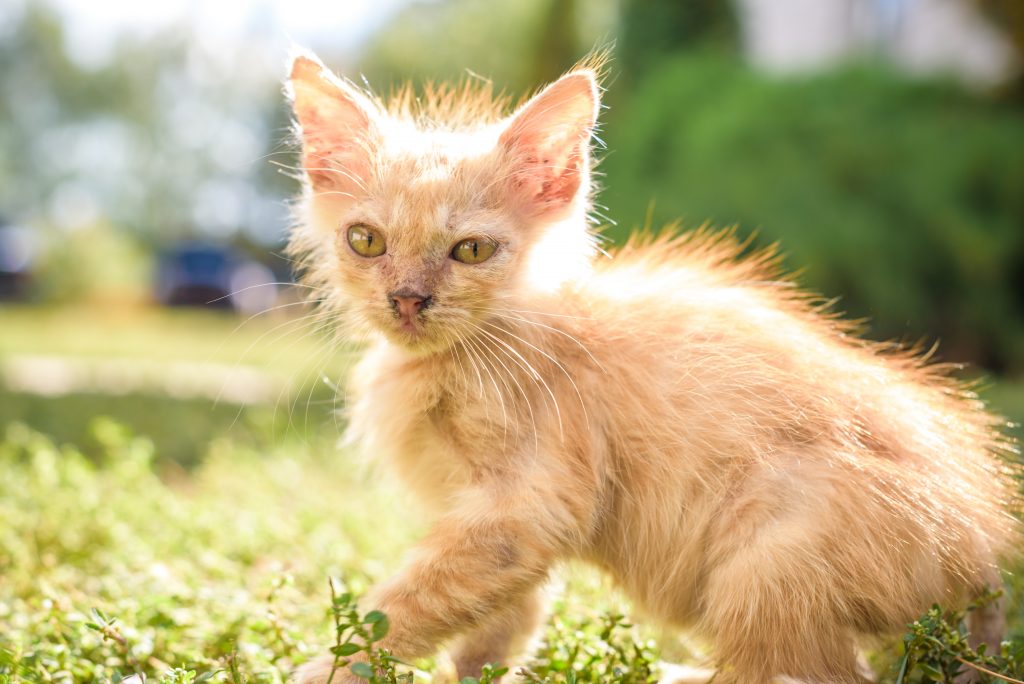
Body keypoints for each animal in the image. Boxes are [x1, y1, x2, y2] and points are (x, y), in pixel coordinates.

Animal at [284, 52, 1019, 684]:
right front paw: (475, 672)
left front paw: (330, 668)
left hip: (769, 553)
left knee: (813, 674)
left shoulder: (529, 501)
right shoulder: (500, 524)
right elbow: (504, 616)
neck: (484, 346)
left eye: (470, 250)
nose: (408, 298)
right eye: (366, 241)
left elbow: (401, 607)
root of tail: (981, 558)